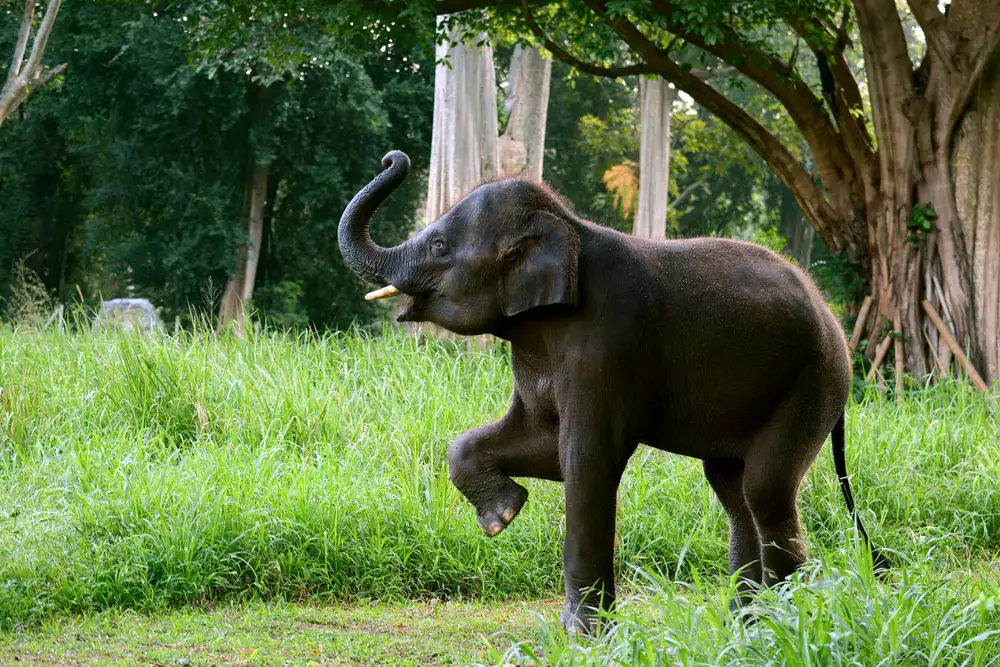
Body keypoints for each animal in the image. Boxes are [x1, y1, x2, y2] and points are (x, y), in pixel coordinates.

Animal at [340, 150, 888, 632]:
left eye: (438, 245)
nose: (392, 157)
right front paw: (504, 515)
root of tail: (834, 319)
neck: (570, 228)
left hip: (814, 381)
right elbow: (540, 446)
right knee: (732, 490)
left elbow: (585, 460)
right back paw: (745, 623)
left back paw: (781, 625)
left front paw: (582, 634)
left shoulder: (605, 345)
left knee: (764, 489)